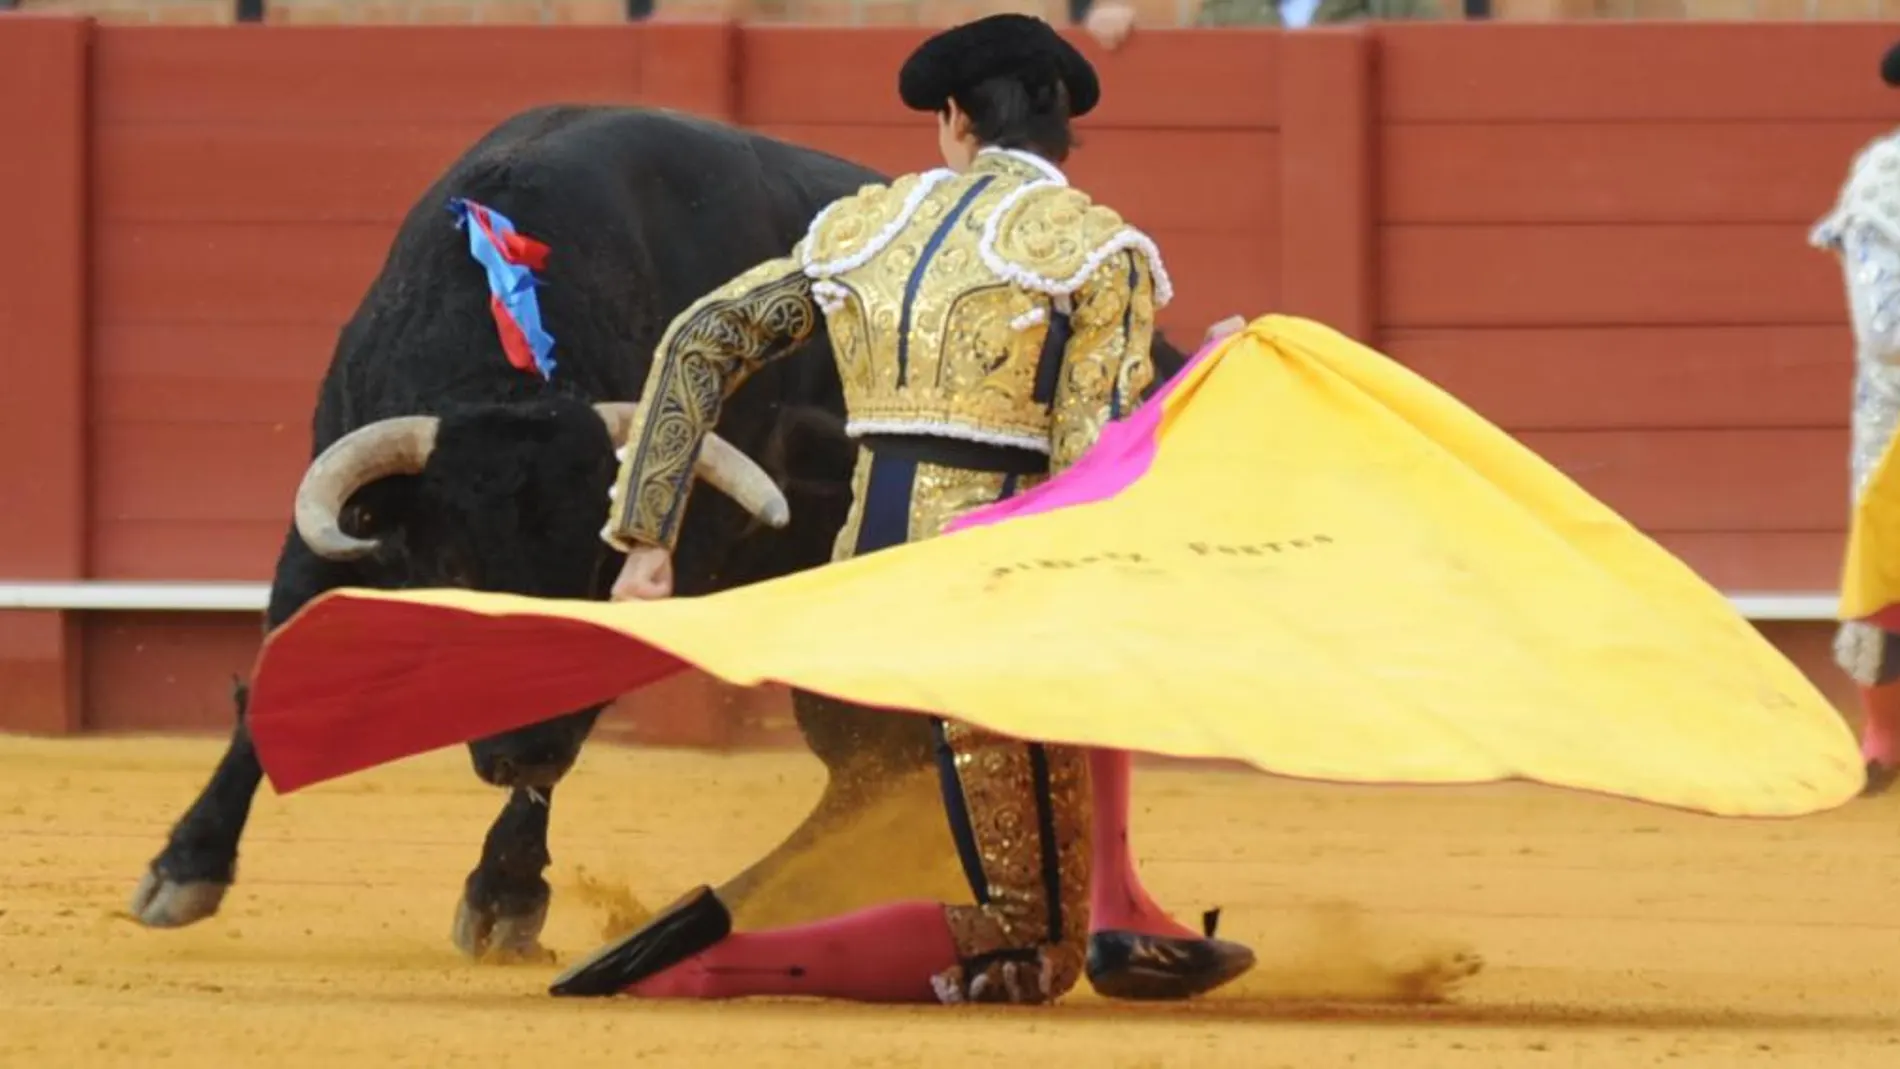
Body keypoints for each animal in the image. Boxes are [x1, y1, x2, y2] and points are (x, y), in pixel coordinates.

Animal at [130, 106, 1185, 960]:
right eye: (455, 565)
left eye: (596, 571)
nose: (521, 752)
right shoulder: (326, 530)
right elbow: (272, 678)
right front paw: (184, 867)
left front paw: (505, 895)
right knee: (865, 764)